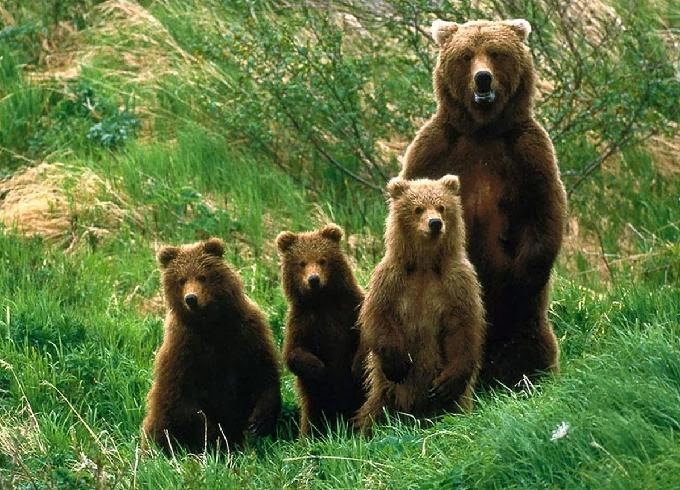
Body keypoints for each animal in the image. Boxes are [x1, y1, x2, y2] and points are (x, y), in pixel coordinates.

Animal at [142, 238, 281, 454]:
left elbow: (263, 371)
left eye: (202, 276)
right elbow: (183, 398)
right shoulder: (183, 348)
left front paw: (258, 421)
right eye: (181, 280)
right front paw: (216, 437)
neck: (211, 324)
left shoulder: (247, 333)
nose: (191, 298)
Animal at [276, 224, 366, 436]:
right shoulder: (302, 322)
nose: (314, 279)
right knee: (312, 419)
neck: (322, 301)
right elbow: (293, 353)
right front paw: (319, 368)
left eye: (322, 259)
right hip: (314, 403)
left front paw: (356, 366)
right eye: (301, 263)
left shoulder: (350, 309)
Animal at [354, 175, 485, 432]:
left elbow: (463, 326)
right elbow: (378, 316)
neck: (425, 264)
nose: (435, 223)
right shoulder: (391, 279)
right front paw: (398, 362)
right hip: (386, 393)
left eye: (442, 207)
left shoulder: (457, 282)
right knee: (374, 410)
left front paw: (447, 383)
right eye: (418, 208)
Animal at [399, 19, 567, 388]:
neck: (482, 130)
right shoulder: (434, 149)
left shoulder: (528, 153)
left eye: (495, 51)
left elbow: (543, 209)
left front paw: (520, 277)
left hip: (524, 323)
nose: (483, 78)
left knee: (529, 342)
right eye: (466, 55)